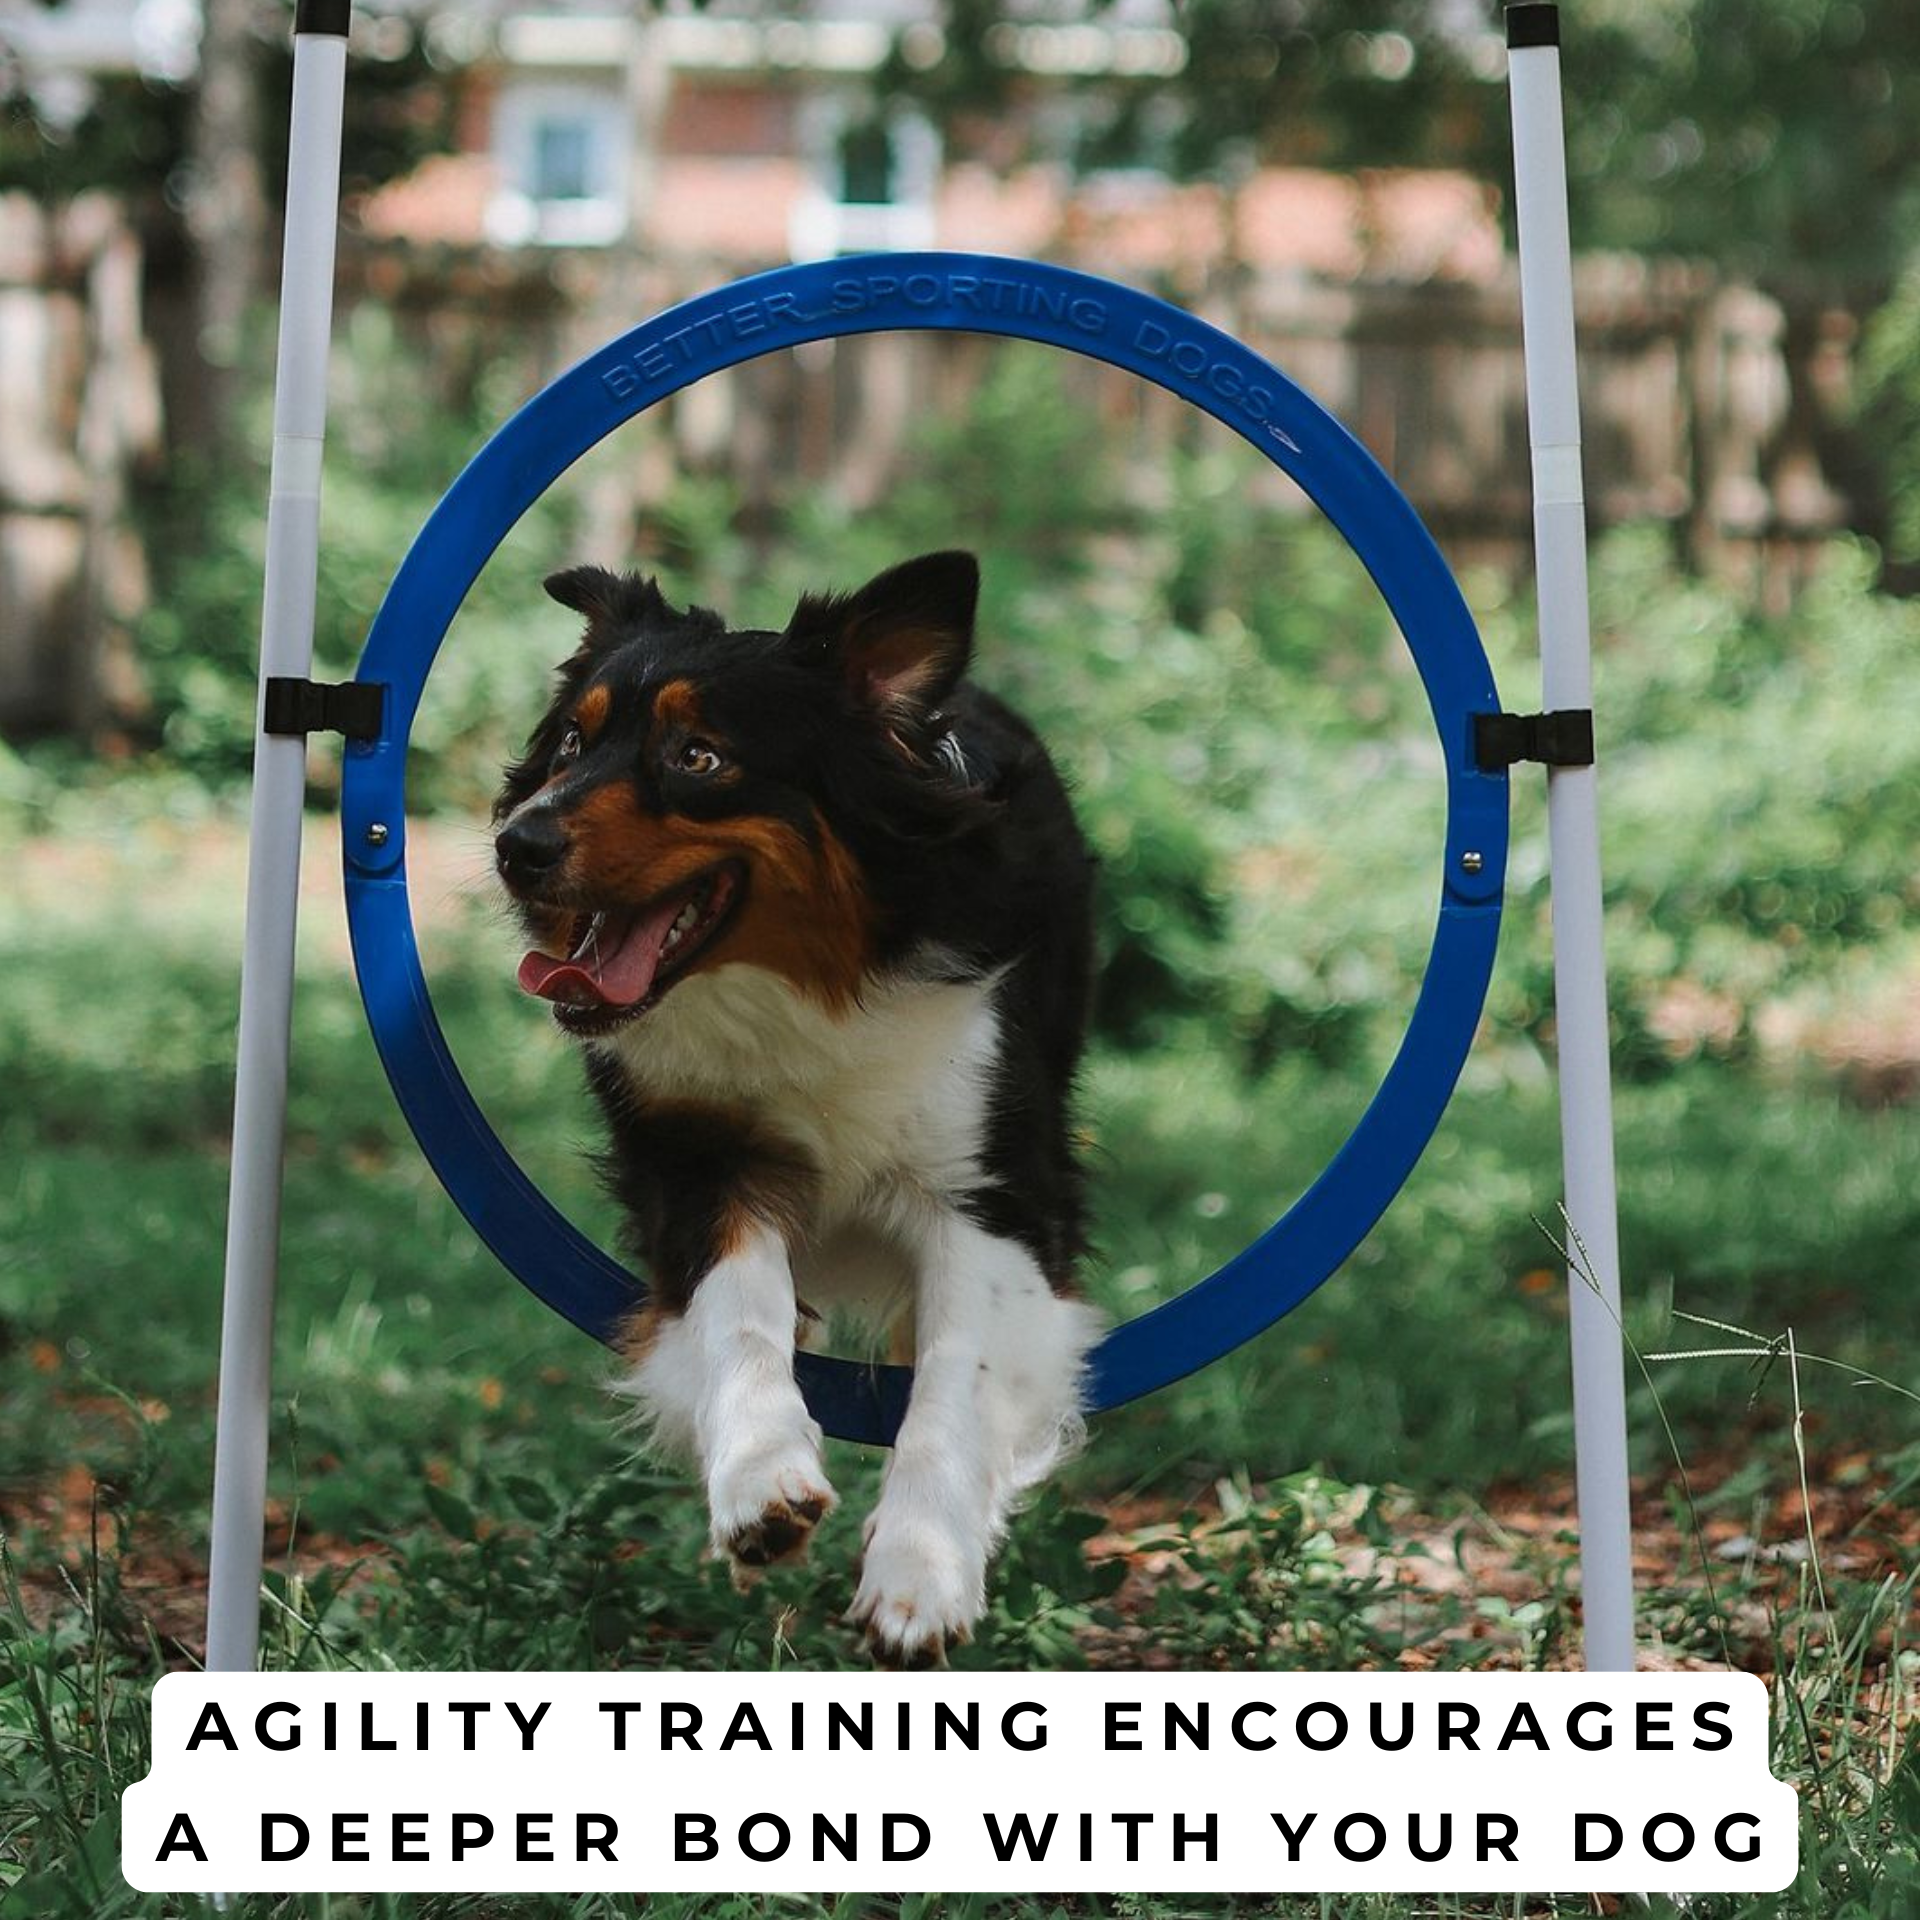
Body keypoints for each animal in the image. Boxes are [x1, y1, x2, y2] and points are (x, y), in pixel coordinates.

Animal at [487, 556, 1105, 1666]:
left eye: (698, 756)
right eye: (569, 744)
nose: (517, 844)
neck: (810, 992)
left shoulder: (991, 1192)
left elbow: (956, 1375)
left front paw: (920, 1569)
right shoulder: (697, 1163)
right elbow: (741, 1312)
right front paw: (761, 1479)